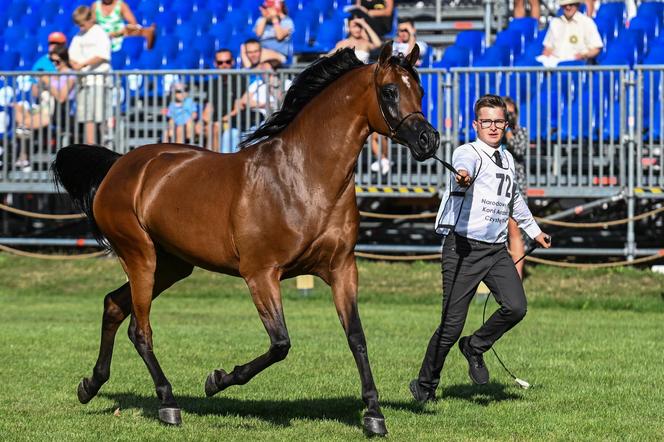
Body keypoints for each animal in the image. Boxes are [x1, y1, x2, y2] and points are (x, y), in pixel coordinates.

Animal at [53, 43, 440, 436]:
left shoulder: (342, 268)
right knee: (140, 329)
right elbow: (280, 343)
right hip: (141, 257)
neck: (303, 178)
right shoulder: (261, 275)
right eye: (390, 91)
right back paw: (167, 404)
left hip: (172, 266)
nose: (429, 140)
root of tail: (119, 166)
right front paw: (217, 380)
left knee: (114, 306)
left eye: (421, 90)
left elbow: (356, 337)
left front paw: (374, 414)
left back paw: (90, 385)